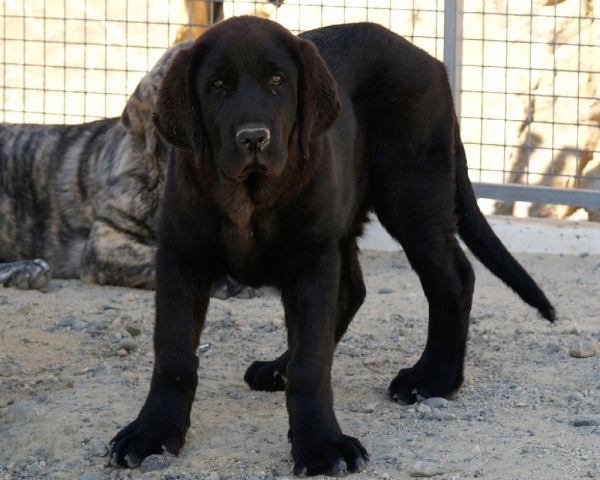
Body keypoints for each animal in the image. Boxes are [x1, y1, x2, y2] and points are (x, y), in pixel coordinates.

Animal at [109, 16, 556, 478]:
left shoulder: (311, 260)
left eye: (278, 81)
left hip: (411, 192)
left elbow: (312, 362)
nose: (254, 138)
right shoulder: (180, 258)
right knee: (354, 290)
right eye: (217, 85)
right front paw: (153, 432)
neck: (249, 198)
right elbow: (173, 356)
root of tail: (432, 64)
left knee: (454, 277)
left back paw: (433, 379)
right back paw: (279, 368)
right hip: (349, 217)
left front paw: (320, 444)